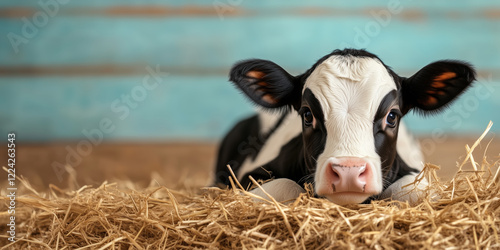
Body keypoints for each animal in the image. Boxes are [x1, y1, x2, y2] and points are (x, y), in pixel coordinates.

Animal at [216, 48, 476, 205]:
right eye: (307, 114)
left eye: (392, 116)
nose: (348, 172)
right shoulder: (248, 176)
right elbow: (285, 186)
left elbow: (411, 189)